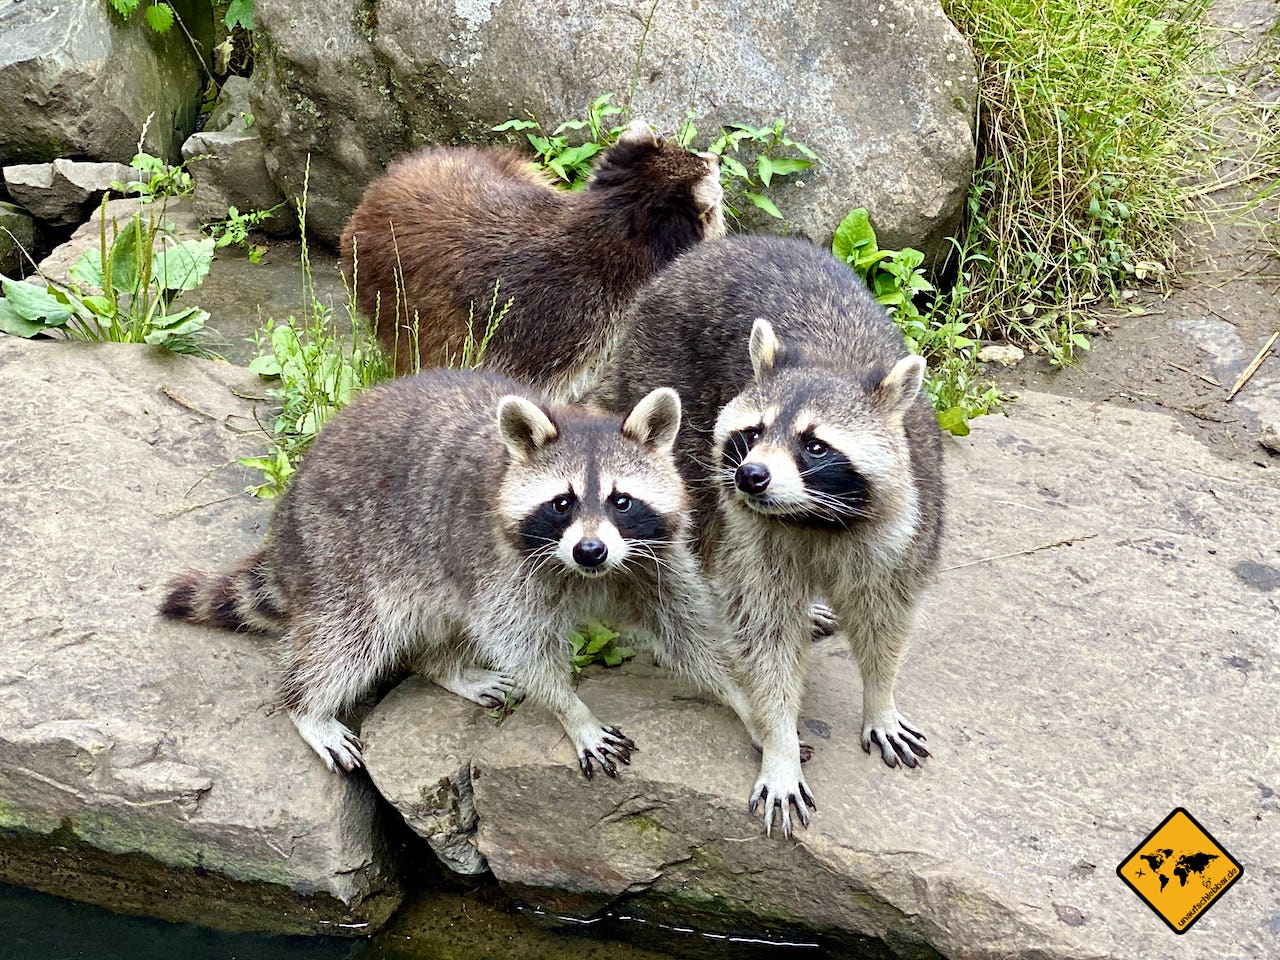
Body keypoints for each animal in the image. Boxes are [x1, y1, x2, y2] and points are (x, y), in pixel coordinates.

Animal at [160, 368, 747, 783]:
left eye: (621, 500)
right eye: (562, 502)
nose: (590, 551)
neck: (588, 574)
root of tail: (288, 512)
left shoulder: (653, 557)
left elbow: (685, 630)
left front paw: (743, 700)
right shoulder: (503, 564)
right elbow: (519, 642)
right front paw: (572, 711)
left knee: (437, 619)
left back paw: (444, 666)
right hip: (342, 550)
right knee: (349, 637)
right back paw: (307, 706)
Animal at [593, 236, 947, 839]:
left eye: (814, 445)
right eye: (753, 433)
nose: (751, 476)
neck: (812, 517)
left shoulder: (907, 524)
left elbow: (885, 616)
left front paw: (880, 695)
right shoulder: (753, 535)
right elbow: (765, 639)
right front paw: (779, 741)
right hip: (662, 400)